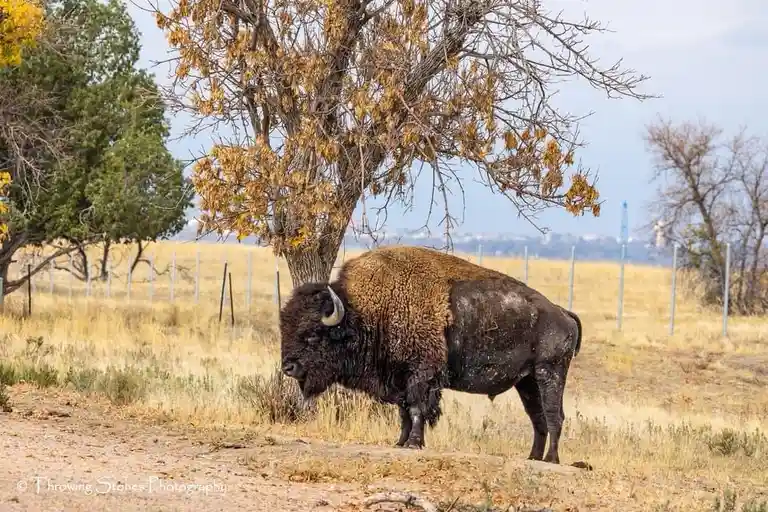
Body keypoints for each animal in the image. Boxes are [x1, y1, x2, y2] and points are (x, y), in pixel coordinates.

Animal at [279, 245, 582, 464]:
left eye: (313, 334)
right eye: (285, 327)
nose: (288, 367)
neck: (365, 313)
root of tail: (563, 313)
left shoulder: (421, 375)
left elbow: (417, 409)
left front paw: (414, 443)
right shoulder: (399, 379)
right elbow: (403, 411)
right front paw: (400, 442)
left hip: (549, 372)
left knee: (554, 415)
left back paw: (551, 459)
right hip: (527, 382)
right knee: (538, 418)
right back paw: (533, 457)